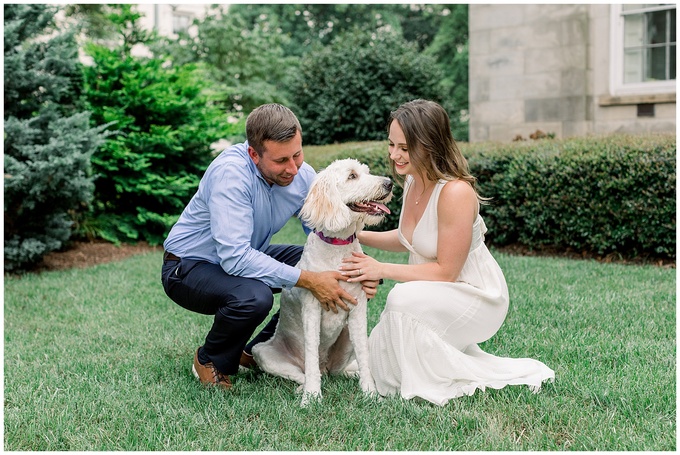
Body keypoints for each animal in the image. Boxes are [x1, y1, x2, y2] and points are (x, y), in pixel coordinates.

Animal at [252, 159, 394, 408]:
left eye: (366, 172)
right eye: (352, 176)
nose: (389, 183)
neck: (338, 247)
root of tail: (325, 366)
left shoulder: (358, 311)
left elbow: (365, 357)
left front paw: (370, 394)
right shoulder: (312, 310)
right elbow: (310, 351)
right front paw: (312, 396)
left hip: (346, 342)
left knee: (339, 370)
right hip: (262, 352)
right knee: (305, 372)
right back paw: (305, 386)